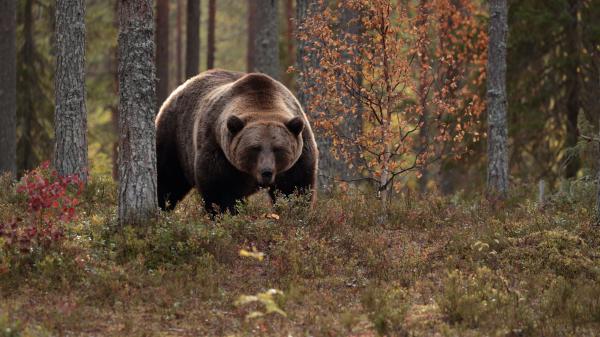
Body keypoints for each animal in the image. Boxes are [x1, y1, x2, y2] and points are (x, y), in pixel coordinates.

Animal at [155, 69, 318, 213]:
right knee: (167, 179)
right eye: (254, 147)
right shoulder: (217, 149)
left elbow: (294, 188)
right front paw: (224, 214)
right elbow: (220, 192)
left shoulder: (299, 156)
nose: (266, 172)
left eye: (278, 148)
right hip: (175, 137)